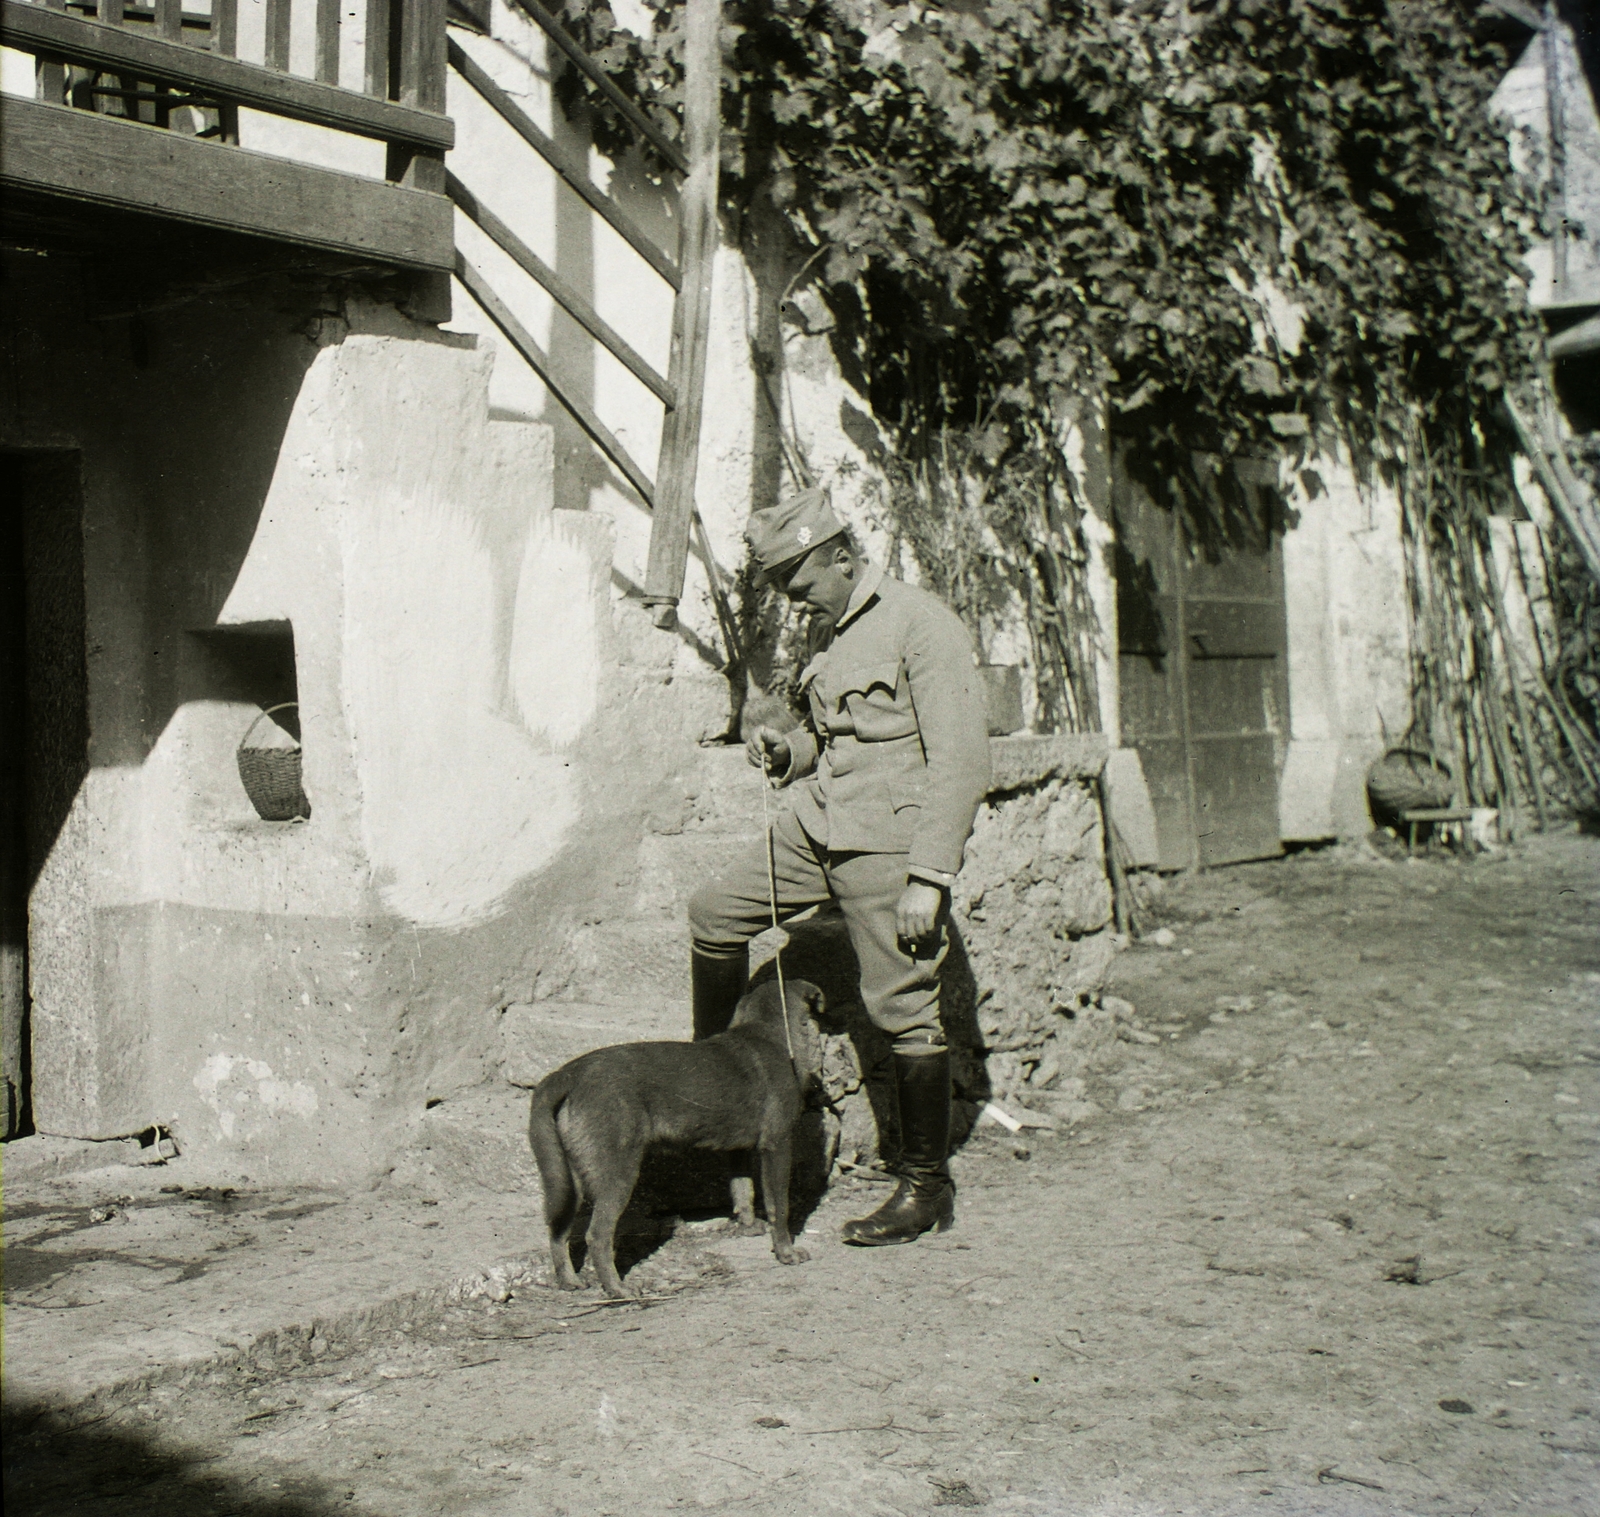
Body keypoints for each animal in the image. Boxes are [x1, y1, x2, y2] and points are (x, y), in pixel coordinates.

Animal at [528, 979, 825, 1299]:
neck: (766, 1032)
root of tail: (569, 1074)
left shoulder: (738, 1150)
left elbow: (742, 1191)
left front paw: (747, 1225)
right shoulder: (777, 1145)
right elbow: (778, 1207)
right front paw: (786, 1252)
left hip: (569, 1180)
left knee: (557, 1231)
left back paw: (569, 1281)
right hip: (617, 1175)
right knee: (597, 1235)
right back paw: (617, 1288)